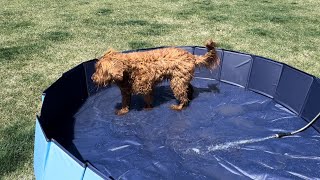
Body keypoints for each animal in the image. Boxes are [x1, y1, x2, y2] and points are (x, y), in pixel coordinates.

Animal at [91, 39, 219, 115]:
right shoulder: (126, 90)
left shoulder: (146, 87)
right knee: (188, 89)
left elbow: (148, 101)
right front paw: (123, 111)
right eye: (97, 67)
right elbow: (125, 102)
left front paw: (147, 109)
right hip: (181, 78)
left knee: (183, 96)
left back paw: (179, 106)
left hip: (177, 82)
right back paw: (189, 98)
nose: (93, 78)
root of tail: (192, 56)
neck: (128, 70)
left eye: (100, 69)